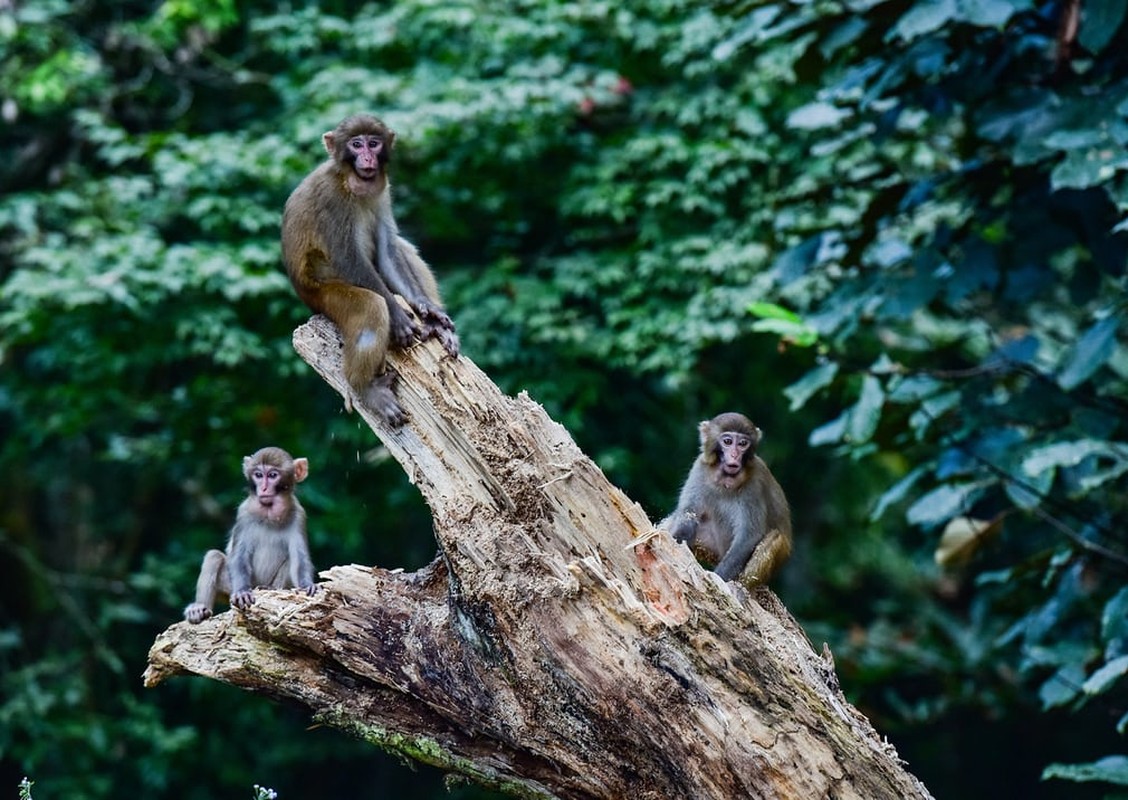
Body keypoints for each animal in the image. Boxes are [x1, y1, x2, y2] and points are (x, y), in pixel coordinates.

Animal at [183, 442, 318, 622]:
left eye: (273, 475)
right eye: (258, 475)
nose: (264, 488)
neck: (269, 514)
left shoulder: (298, 516)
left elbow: (300, 559)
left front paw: (307, 584)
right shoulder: (244, 513)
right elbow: (239, 556)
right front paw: (242, 592)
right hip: (228, 587)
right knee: (214, 556)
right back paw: (199, 608)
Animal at [280, 113, 457, 426]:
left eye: (373, 144)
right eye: (356, 144)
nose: (366, 157)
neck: (350, 181)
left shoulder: (382, 192)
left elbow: (388, 248)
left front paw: (428, 309)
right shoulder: (331, 198)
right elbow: (348, 258)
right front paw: (398, 317)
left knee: (402, 247)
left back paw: (435, 322)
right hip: (323, 296)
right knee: (370, 305)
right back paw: (365, 388)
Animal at [658, 412, 794, 586]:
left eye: (743, 443)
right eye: (728, 441)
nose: (735, 455)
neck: (726, 478)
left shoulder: (755, 483)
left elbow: (749, 535)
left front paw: (719, 579)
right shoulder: (700, 467)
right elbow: (688, 514)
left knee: (775, 537)